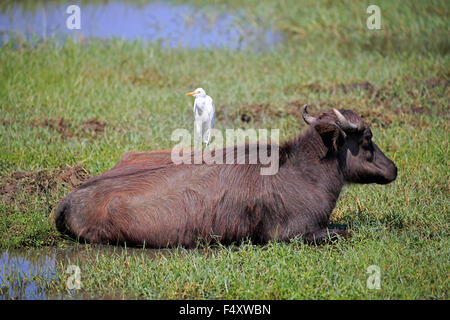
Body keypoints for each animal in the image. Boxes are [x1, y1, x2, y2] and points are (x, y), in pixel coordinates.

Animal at [54, 106, 396, 246]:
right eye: (367, 137)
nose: (393, 168)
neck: (302, 172)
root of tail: (69, 199)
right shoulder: (290, 234)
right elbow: (343, 232)